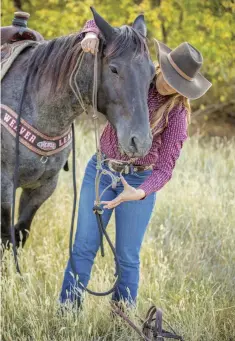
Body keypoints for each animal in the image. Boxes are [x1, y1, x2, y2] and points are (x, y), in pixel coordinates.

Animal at [0, 7, 155, 247]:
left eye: (151, 73)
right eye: (114, 69)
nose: (141, 142)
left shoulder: (42, 189)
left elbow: (21, 232)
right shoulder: (4, 186)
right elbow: (7, 239)